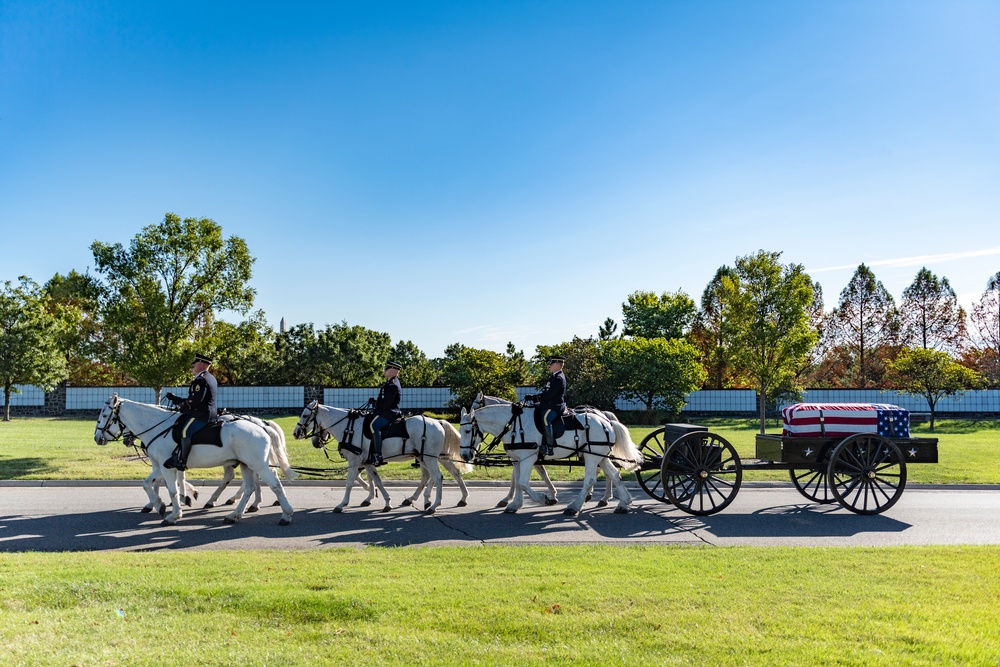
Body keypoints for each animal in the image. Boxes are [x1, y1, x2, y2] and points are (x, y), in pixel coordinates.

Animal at [93, 394, 296, 524]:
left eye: (105, 415)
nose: (97, 438)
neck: (157, 426)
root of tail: (261, 425)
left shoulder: (167, 467)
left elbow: (172, 489)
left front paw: (174, 513)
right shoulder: (161, 466)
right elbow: (148, 484)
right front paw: (158, 504)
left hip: (258, 465)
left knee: (274, 484)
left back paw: (285, 514)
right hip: (247, 464)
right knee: (248, 487)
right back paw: (235, 513)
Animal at [292, 402, 472, 516]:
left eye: (305, 415)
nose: (295, 433)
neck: (349, 427)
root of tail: (438, 422)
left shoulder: (355, 462)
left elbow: (350, 483)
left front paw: (342, 504)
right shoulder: (367, 462)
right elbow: (376, 481)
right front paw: (385, 502)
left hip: (430, 458)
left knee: (437, 477)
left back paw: (433, 505)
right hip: (429, 457)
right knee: (442, 474)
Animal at [458, 402, 640, 516]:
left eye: (467, 431)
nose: (464, 456)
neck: (513, 425)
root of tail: (607, 421)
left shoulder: (528, 458)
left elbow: (523, 483)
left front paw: (544, 498)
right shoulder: (517, 460)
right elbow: (517, 482)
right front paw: (515, 504)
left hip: (591, 456)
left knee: (590, 479)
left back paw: (574, 506)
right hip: (599, 456)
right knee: (614, 475)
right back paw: (623, 503)